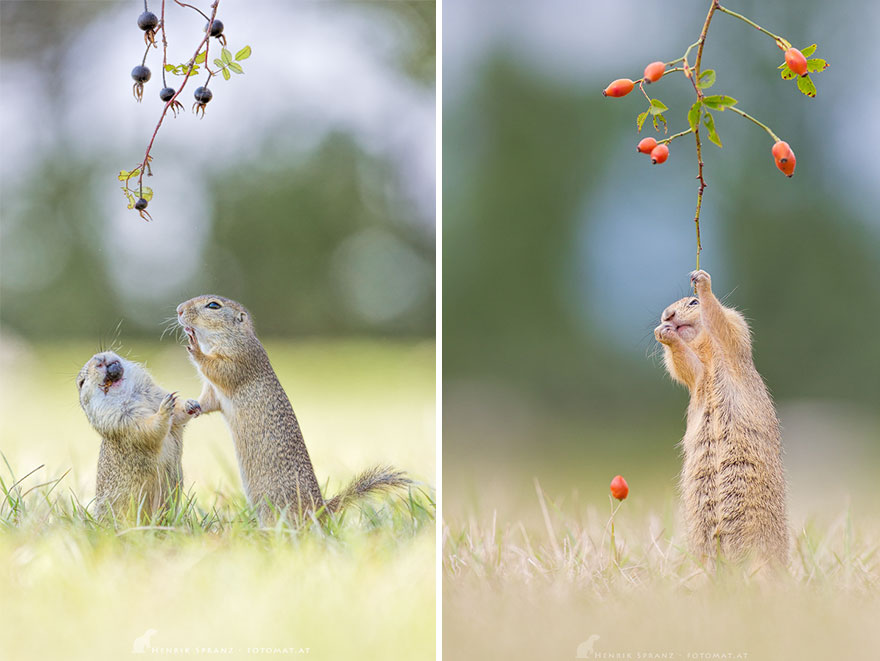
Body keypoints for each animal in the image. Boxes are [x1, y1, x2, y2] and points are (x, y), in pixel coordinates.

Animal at [77, 350, 201, 518]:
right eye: (81, 382)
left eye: (105, 351)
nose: (99, 358)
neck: (129, 395)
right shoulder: (123, 421)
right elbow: (148, 429)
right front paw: (164, 409)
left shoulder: (154, 395)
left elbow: (177, 417)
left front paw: (190, 404)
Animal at [176, 295, 410, 524]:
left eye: (213, 306)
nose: (179, 309)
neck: (229, 336)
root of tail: (320, 509)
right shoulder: (213, 392)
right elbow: (209, 401)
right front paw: (192, 406)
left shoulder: (240, 359)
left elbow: (218, 368)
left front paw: (194, 347)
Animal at [654, 270, 788, 567]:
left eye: (693, 302)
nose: (667, 315)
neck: (708, 354)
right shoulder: (698, 373)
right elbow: (686, 364)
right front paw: (664, 333)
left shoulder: (736, 329)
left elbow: (723, 324)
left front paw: (704, 284)